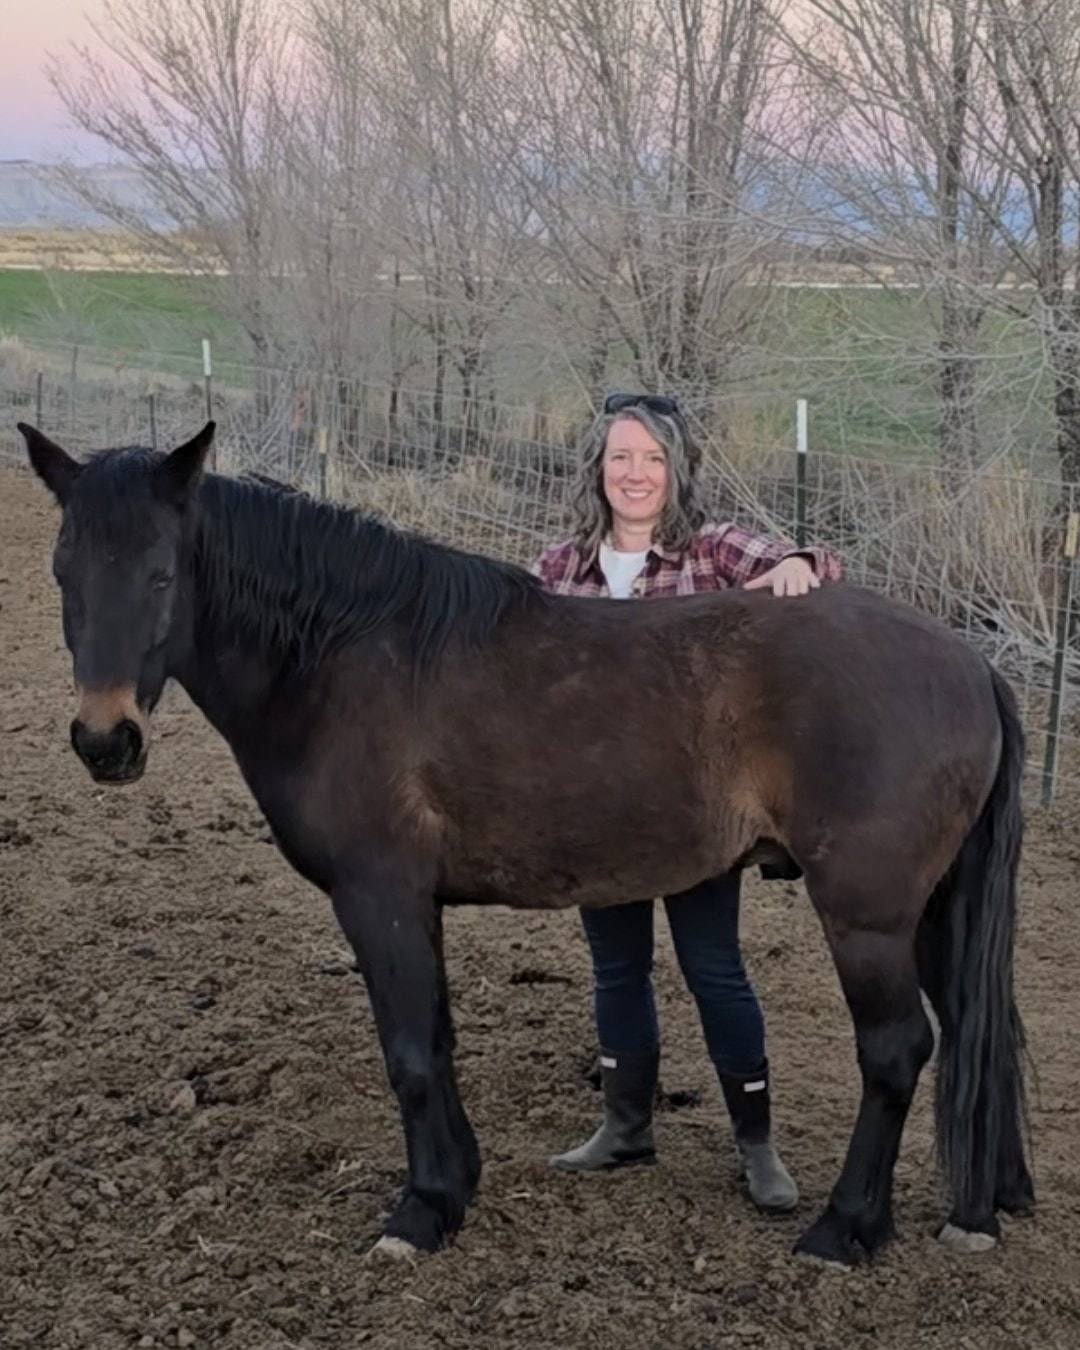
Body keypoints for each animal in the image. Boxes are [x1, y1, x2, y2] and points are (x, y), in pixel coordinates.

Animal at [17, 419, 1035, 1268]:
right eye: (65, 574)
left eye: (161, 574)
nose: (106, 742)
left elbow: (410, 1053)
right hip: (929, 915)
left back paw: (844, 1228)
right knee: (976, 1036)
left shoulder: (379, 896)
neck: (340, 654)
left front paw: (421, 1209)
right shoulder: (410, 905)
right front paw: (456, 1184)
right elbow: (434, 1039)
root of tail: (971, 663)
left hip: (867, 917)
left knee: (897, 1050)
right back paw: (977, 1211)